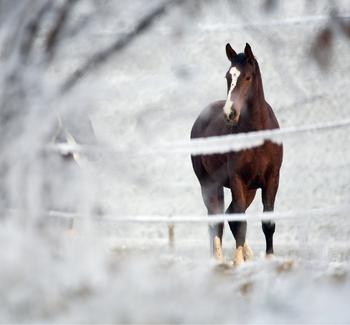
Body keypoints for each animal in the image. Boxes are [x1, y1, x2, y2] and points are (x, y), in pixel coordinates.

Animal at [190, 42, 284, 266]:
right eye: (227, 77)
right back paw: (219, 259)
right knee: (216, 218)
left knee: (228, 214)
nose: (230, 113)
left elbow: (267, 220)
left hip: (249, 189)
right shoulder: (236, 179)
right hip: (210, 184)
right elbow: (240, 221)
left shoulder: (272, 179)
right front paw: (238, 262)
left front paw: (269, 257)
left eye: (247, 77)